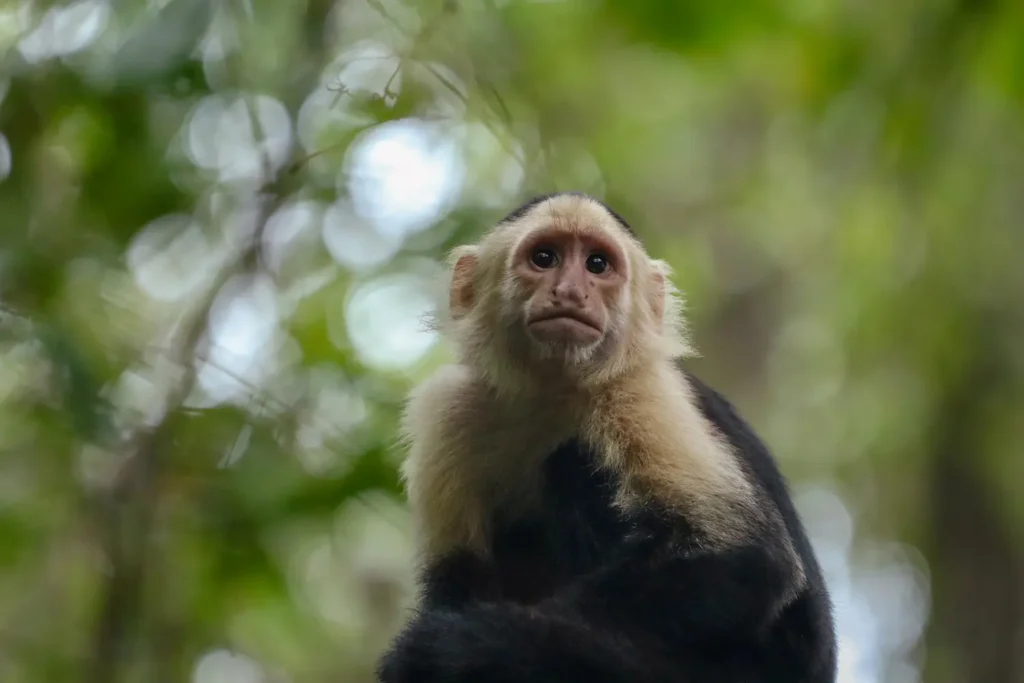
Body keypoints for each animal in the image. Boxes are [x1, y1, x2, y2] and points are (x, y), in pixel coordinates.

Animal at [376, 192, 837, 683]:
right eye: (544, 258)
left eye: (597, 264)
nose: (571, 292)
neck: (550, 393)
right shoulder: (447, 408)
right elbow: (457, 580)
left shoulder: (637, 388)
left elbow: (748, 557)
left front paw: (479, 638)